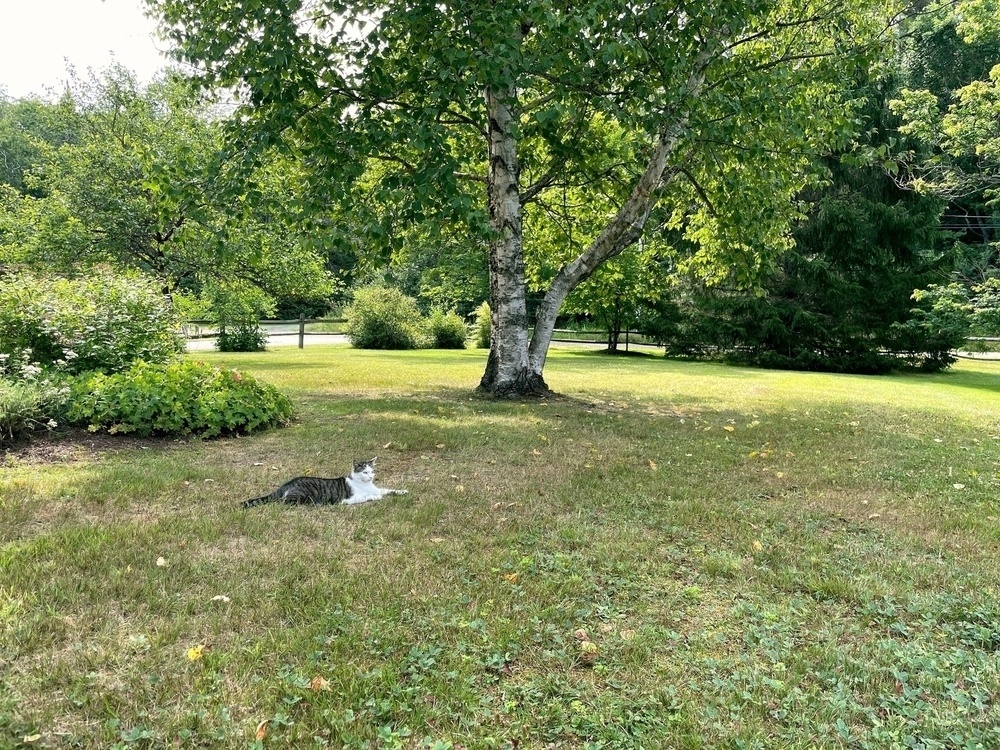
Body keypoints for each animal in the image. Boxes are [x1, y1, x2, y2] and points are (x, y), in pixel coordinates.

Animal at [242, 458, 406, 512]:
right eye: (365, 472)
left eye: (372, 471)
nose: (371, 476)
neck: (366, 485)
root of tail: (287, 483)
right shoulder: (348, 500)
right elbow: (369, 496)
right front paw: (376, 498)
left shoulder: (379, 489)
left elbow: (388, 490)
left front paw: (402, 491)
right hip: (302, 496)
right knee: (283, 502)